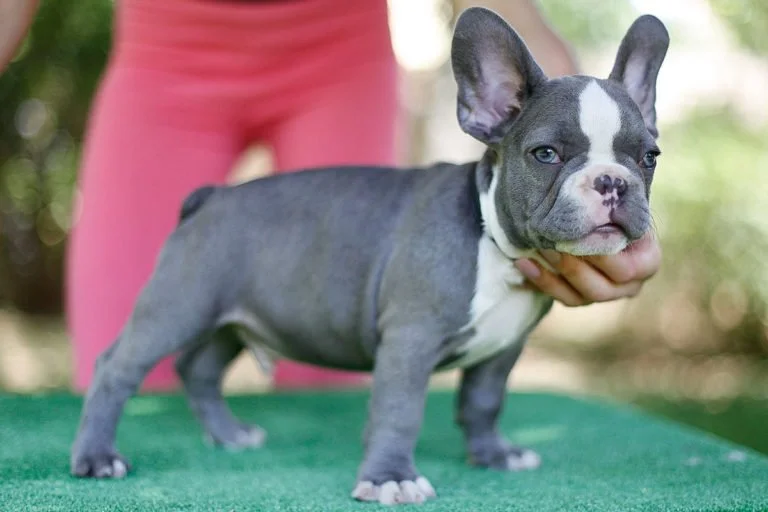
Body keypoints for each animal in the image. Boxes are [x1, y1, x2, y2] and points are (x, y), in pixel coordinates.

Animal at [73, 7, 672, 504]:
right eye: (546, 154)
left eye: (649, 157)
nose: (612, 182)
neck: (492, 241)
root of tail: (211, 198)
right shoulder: (409, 341)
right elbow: (399, 412)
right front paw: (391, 479)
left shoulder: (503, 348)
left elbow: (483, 403)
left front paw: (494, 455)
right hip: (180, 302)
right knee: (118, 368)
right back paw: (98, 457)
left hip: (235, 319)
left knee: (199, 369)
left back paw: (230, 435)